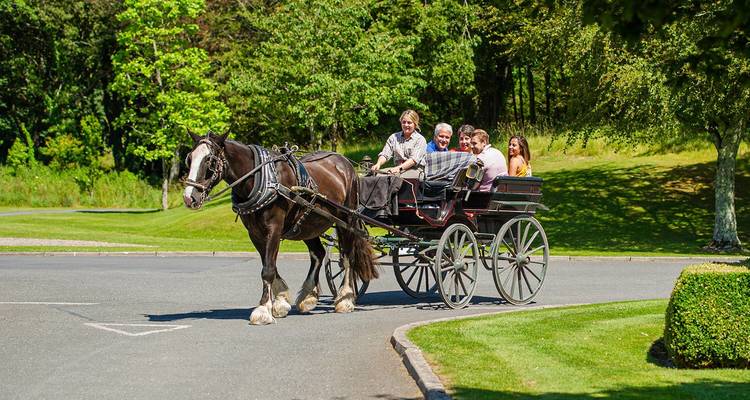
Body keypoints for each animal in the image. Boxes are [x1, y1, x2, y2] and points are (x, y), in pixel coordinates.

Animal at [182, 131, 378, 325]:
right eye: (189, 159)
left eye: (209, 160)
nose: (189, 197)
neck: (262, 179)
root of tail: (344, 162)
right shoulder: (255, 233)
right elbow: (269, 264)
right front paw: (280, 301)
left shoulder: (274, 228)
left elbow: (268, 269)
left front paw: (263, 310)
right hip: (308, 223)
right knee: (318, 254)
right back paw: (308, 296)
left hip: (348, 218)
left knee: (347, 256)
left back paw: (345, 298)